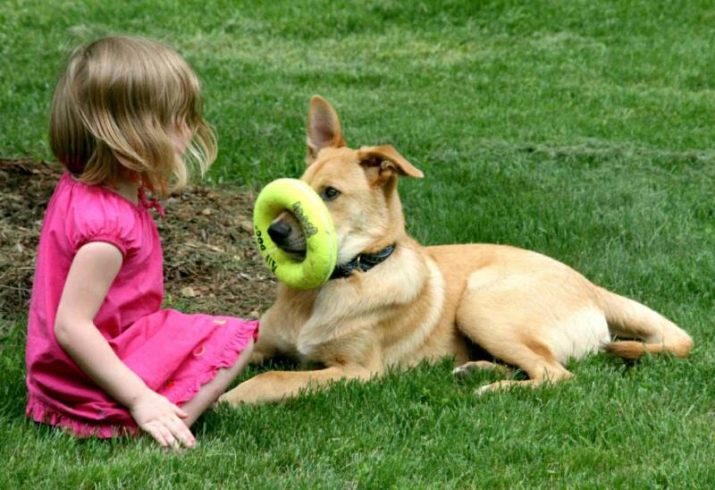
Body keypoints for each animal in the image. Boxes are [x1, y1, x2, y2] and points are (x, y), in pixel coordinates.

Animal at [220, 96, 692, 406]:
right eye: (299, 188)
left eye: (330, 194)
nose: (274, 232)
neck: (335, 283)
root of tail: (592, 287)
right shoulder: (261, 343)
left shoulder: (357, 371)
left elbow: (275, 377)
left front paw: (233, 398)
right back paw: (476, 370)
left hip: (483, 304)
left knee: (556, 373)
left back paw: (493, 389)